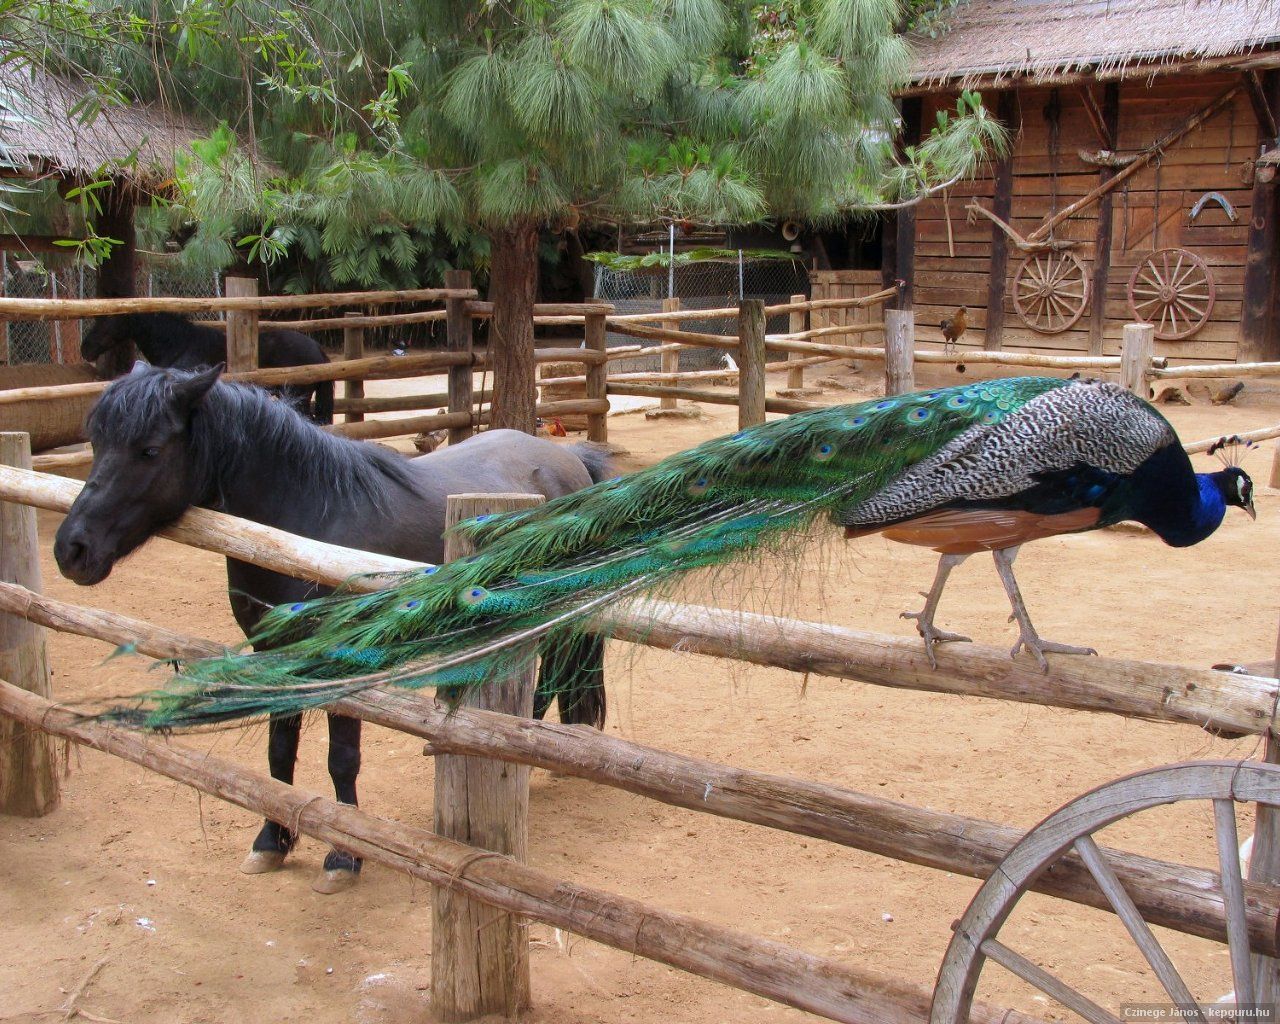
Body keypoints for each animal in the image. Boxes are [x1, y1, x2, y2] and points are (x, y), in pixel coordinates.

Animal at [54, 363, 610, 892]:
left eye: (149, 449)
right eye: (97, 442)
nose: (71, 549)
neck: (306, 526)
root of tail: (568, 460)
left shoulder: (343, 660)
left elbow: (341, 757)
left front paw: (343, 856)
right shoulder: (276, 656)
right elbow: (279, 752)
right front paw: (271, 839)